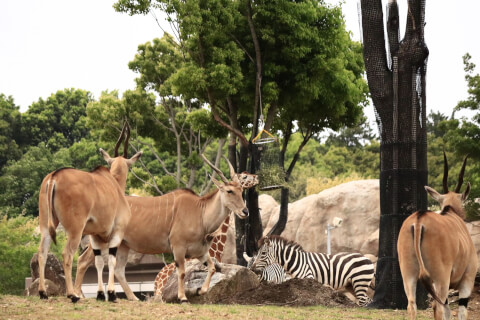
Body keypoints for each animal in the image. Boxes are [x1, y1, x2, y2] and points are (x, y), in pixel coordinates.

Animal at [36, 122, 142, 302]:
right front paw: (111, 294)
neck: (112, 182)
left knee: (42, 253)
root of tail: (54, 177)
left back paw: (43, 293)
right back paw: (72, 295)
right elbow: (111, 261)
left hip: (46, 226)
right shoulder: (116, 232)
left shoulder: (95, 236)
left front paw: (101, 294)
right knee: (67, 254)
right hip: (75, 230)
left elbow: (99, 262)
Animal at [74, 155, 251, 302]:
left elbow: (213, 268)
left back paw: (133, 298)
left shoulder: (200, 252)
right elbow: (182, 272)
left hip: (123, 245)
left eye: (241, 190)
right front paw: (182, 297)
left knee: (118, 270)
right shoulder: (178, 248)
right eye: (229, 191)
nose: (245, 211)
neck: (200, 213)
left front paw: (201, 290)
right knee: (83, 261)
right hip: (103, 241)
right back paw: (78, 295)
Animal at [248, 235, 376, 308]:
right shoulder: (292, 280)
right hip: (351, 285)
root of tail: (367, 259)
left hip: (360, 282)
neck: (295, 261)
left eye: (263, 253)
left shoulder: (308, 278)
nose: (252, 269)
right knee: (368, 300)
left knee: (363, 302)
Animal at [398, 154, 476, 318]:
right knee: (438, 307)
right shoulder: (467, 280)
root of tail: (419, 219)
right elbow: (460, 313)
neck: (451, 211)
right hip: (441, 278)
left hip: (408, 274)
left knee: (411, 305)